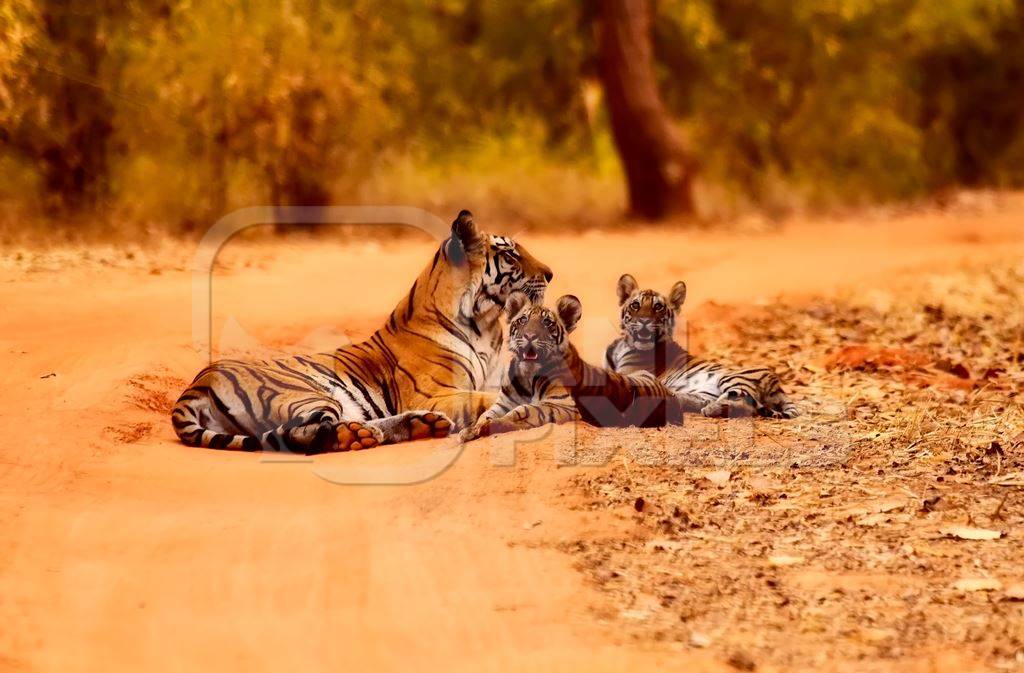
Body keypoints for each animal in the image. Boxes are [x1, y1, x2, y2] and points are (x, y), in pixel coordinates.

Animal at [172, 210, 553, 454]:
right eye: (511, 255)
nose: (550, 274)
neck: (486, 324)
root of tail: (194, 386)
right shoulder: (436, 393)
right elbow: (486, 399)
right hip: (307, 394)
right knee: (305, 434)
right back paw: (363, 435)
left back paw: (420, 426)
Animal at [460, 291, 683, 441]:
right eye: (523, 320)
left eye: (547, 323)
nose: (529, 335)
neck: (526, 374)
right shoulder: (503, 402)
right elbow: (486, 414)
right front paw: (471, 429)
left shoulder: (562, 405)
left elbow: (524, 410)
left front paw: (489, 427)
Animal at [605, 274, 800, 418]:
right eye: (635, 305)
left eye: (658, 307)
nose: (644, 321)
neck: (623, 344)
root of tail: (778, 386)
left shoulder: (629, 373)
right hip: (705, 392)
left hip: (733, 378)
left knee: (743, 403)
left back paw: (709, 409)